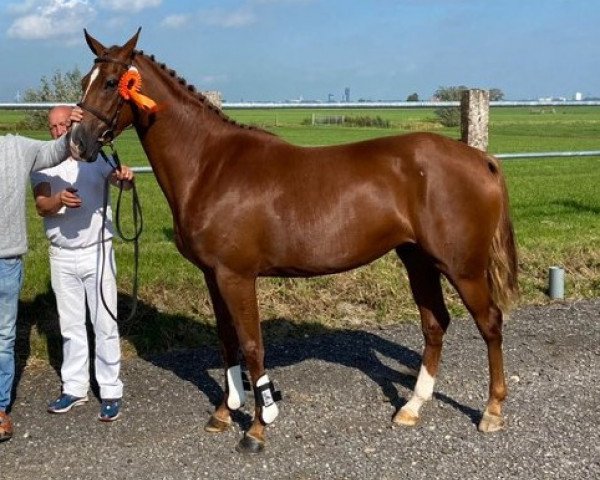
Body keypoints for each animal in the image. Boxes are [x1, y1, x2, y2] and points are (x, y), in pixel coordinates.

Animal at [70, 31, 516, 454]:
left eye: (110, 82)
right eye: (83, 81)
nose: (78, 142)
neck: (210, 165)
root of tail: (481, 159)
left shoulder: (236, 276)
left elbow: (252, 346)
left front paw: (257, 426)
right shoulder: (213, 276)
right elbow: (227, 341)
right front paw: (223, 412)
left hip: (462, 267)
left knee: (489, 323)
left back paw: (492, 411)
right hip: (417, 260)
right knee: (435, 324)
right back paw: (412, 407)